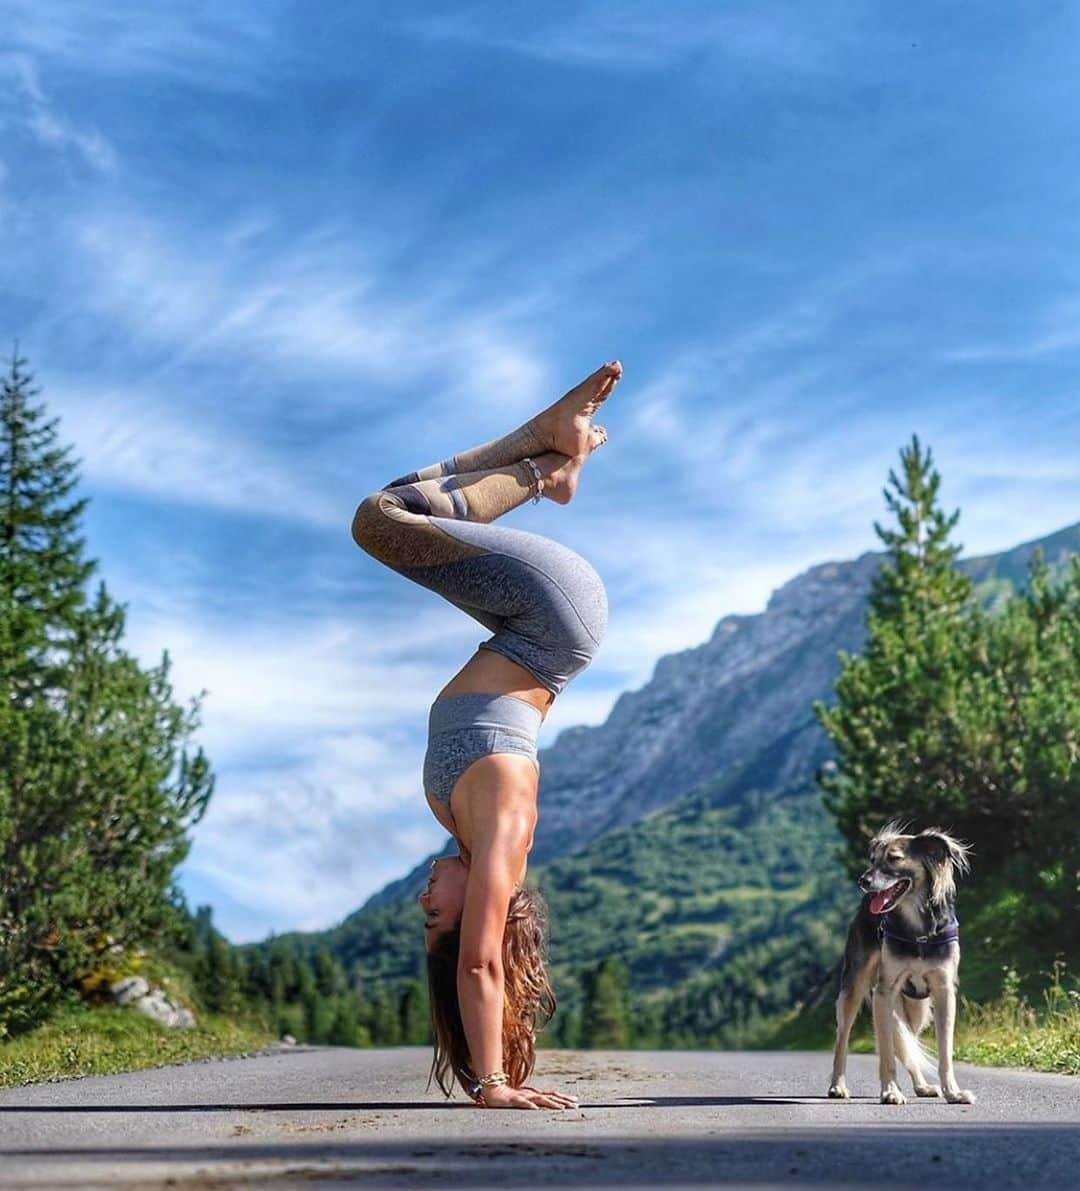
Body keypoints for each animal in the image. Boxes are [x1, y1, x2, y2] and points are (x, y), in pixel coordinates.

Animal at [833, 819, 976, 1105]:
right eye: (873, 859)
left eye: (894, 858)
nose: (862, 881)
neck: (918, 930)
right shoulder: (884, 992)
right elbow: (887, 1052)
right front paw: (890, 1091)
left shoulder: (944, 991)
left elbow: (945, 1051)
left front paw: (952, 1092)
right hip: (853, 990)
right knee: (842, 1039)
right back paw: (838, 1086)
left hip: (917, 1008)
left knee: (910, 1040)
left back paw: (922, 1086)